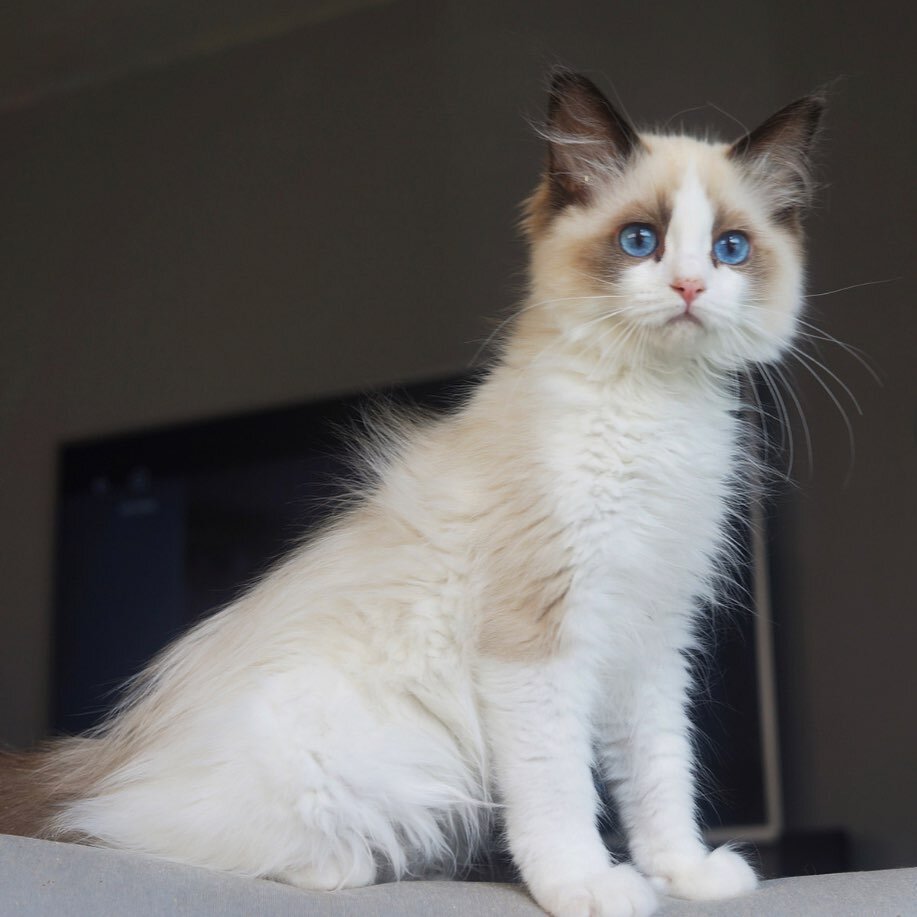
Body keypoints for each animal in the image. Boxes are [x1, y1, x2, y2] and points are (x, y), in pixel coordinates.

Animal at [0, 71, 828, 916]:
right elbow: (560, 789)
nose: (690, 286)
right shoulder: (535, 642)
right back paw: (357, 866)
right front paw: (586, 885)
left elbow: (660, 776)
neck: (655, 408)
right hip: (374, 759)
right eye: (639, 241)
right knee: (161, 840)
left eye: (729, 249)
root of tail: (111, 756)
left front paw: (684, 875)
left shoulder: (652, 640)